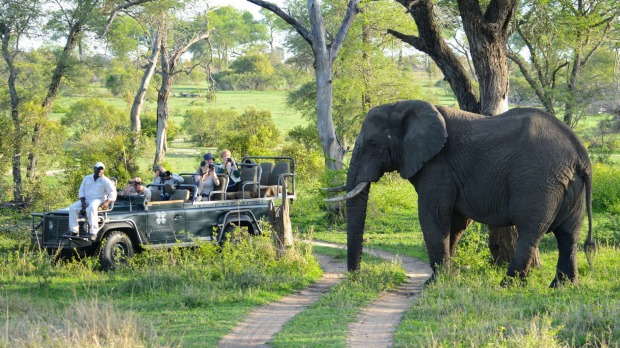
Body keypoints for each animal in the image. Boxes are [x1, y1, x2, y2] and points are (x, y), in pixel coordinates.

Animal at [330, 99, 596, 286]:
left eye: (373, 144)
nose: (355, 276)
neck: (404, 106)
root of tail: (580, 153)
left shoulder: (438, 165)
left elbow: (433, 216)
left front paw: (433, 284)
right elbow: (455, 223)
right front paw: (448, 278)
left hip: (538, 181)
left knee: (531, 232)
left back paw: (506, 286)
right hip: (570, 186)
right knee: (569, 235)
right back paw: (562, 287)